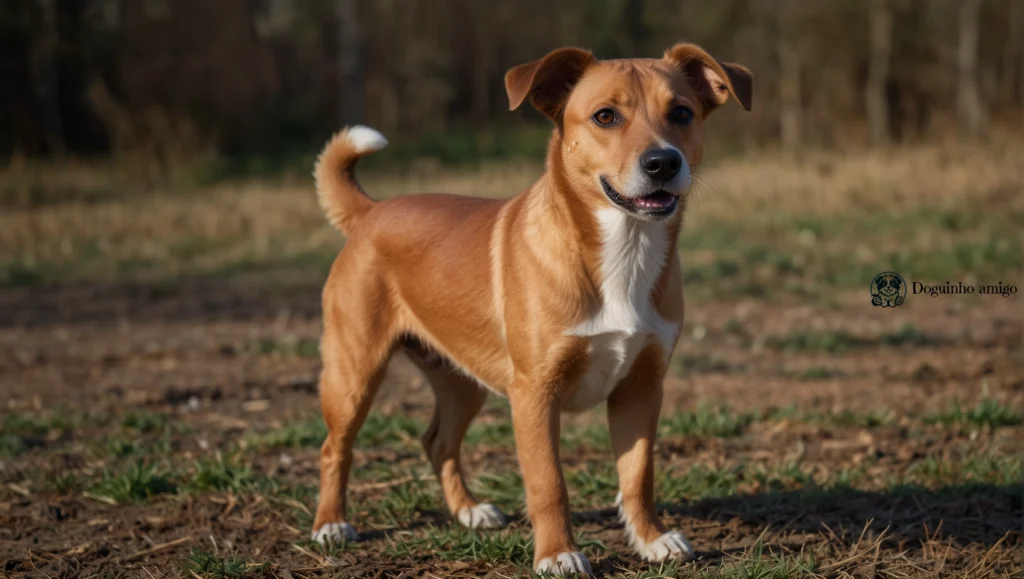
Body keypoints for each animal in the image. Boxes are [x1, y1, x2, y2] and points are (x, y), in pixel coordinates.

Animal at [307, 41, 749, 573]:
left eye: (681, 112)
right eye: (605, 116)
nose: (663, 162)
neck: (624, 250)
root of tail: (371, 213)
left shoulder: (642, 388)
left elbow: (638, 475)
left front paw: (650, 539)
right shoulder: (535, 393)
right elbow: (548, 483)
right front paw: (558, 554)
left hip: (462, 380)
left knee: (438, 441)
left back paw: (469, 511)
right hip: (354, 373)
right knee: (335, 448)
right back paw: (331, 524)